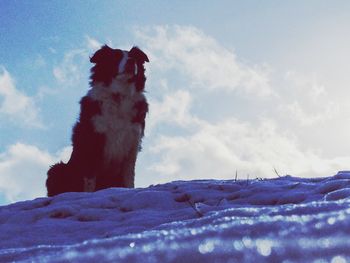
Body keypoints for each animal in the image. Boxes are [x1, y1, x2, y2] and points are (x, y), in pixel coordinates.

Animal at [46, 45, 149, 197]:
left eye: (134, 57)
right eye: (115, 57)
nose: (131, 61)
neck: (119, 96)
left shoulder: (132, 141)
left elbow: (129, 176)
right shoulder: (93, 139)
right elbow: (89, 179)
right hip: (56, 170)